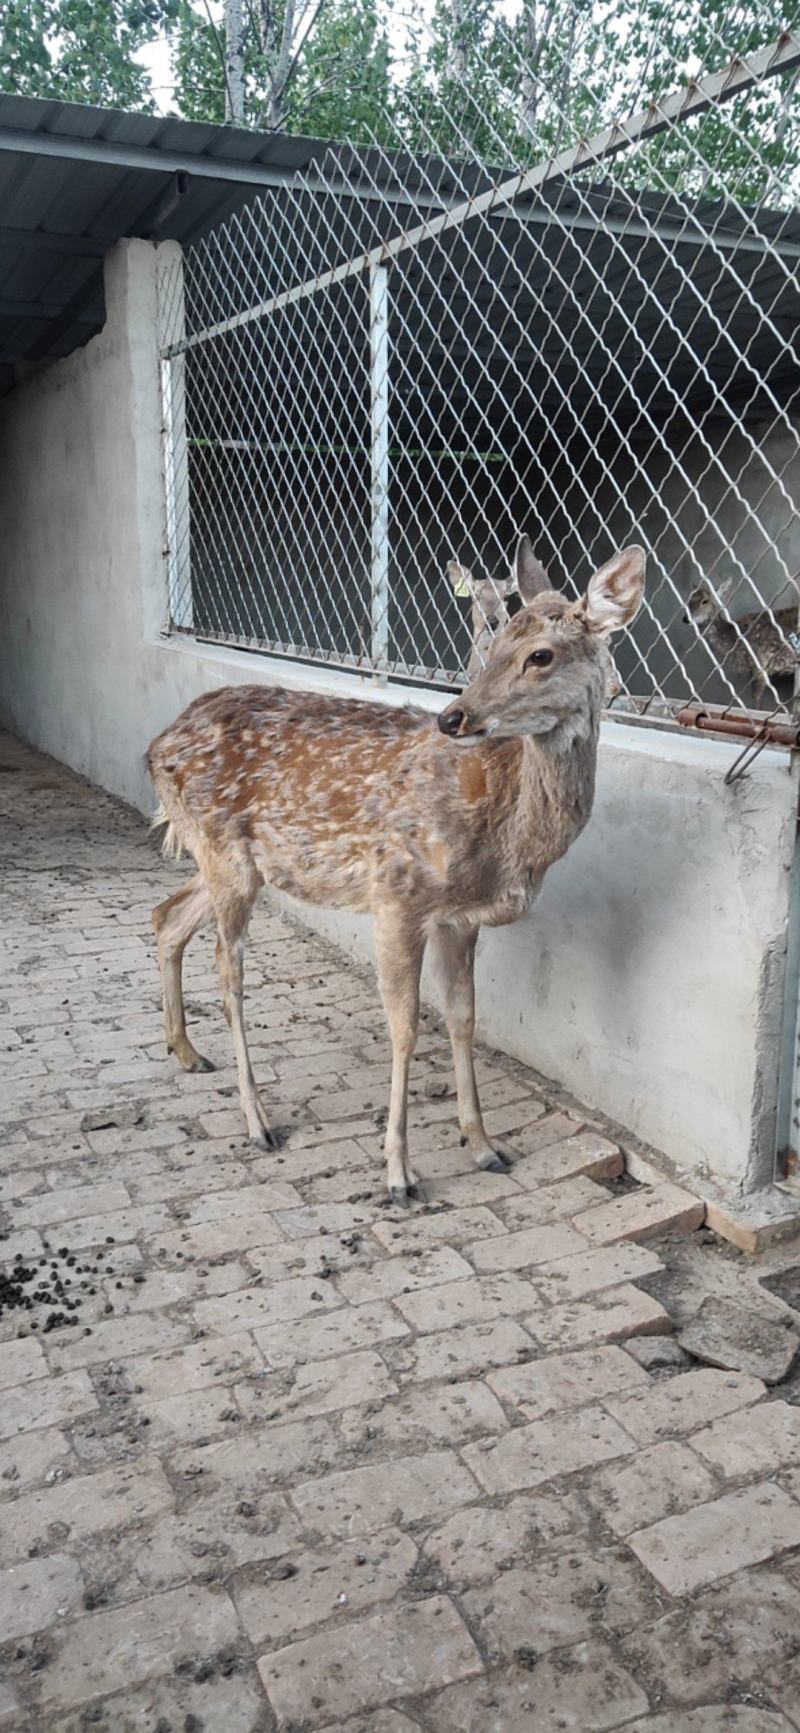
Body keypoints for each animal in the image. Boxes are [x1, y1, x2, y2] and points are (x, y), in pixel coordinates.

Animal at [148, 537, 645, 1204]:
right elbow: (406, 1027)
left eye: (540, 654)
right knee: (229, 975)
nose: (453, 717)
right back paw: (257, 1123)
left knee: (166, 915)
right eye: (491, 642)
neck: (508, 838)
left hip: (235, 863)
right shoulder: (397, 896)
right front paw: (399, 1174)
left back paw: (186, 1051)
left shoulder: (459, 918)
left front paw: (483, 1146)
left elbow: (463, 1018)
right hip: (224, 852)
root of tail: (157, 746)